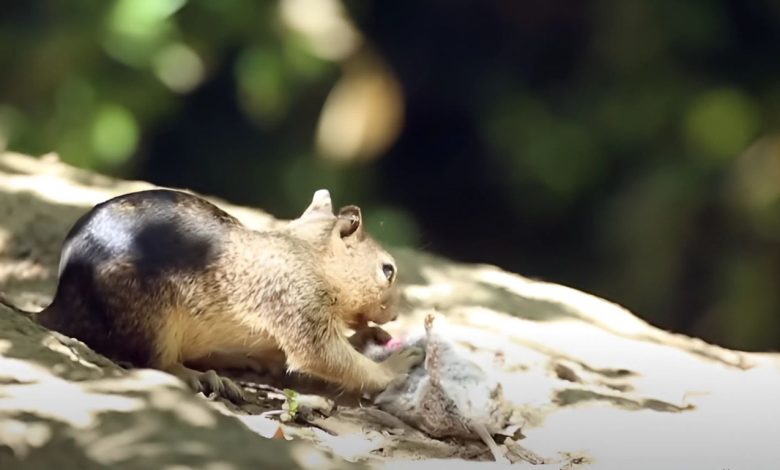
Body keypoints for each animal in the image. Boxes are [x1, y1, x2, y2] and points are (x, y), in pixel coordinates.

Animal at [0, 189, 424, 402]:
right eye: (388, 270)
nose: (397, 314)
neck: (306, 254)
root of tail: (59, 305)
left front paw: (369, 337)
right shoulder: (299, 305)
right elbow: (324, 357)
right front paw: (395, 365)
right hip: (154, 320)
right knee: (156, 364)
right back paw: (205, 377)